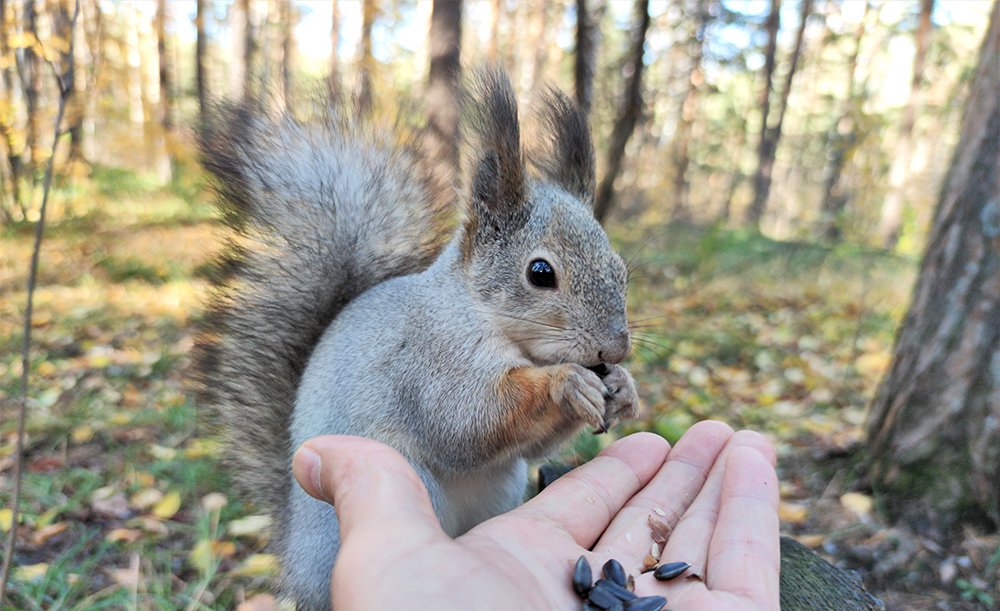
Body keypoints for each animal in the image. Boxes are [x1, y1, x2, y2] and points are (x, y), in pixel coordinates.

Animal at [195, 69, 640, 608]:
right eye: (540, 273)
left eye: (621, 270)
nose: (615, 349)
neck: (483, 317)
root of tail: (294, 561)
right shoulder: (427, 359)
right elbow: (467, 421)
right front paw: (566, 383)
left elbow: (529, 446)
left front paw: (623, 387)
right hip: (404, 485)